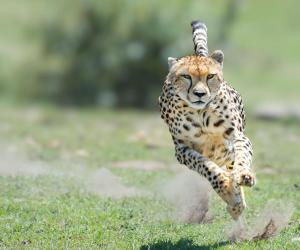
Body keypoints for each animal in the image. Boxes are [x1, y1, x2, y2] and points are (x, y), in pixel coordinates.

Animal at [159, 21, 255, 220]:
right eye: (186, 76)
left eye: (210, 76)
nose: (200, 94)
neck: (200, 113)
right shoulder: (182, 149)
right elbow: (205, 167)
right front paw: (225, 187)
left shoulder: (238, 137)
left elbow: (242, 157)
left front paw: (243, 175)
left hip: (227, 150)